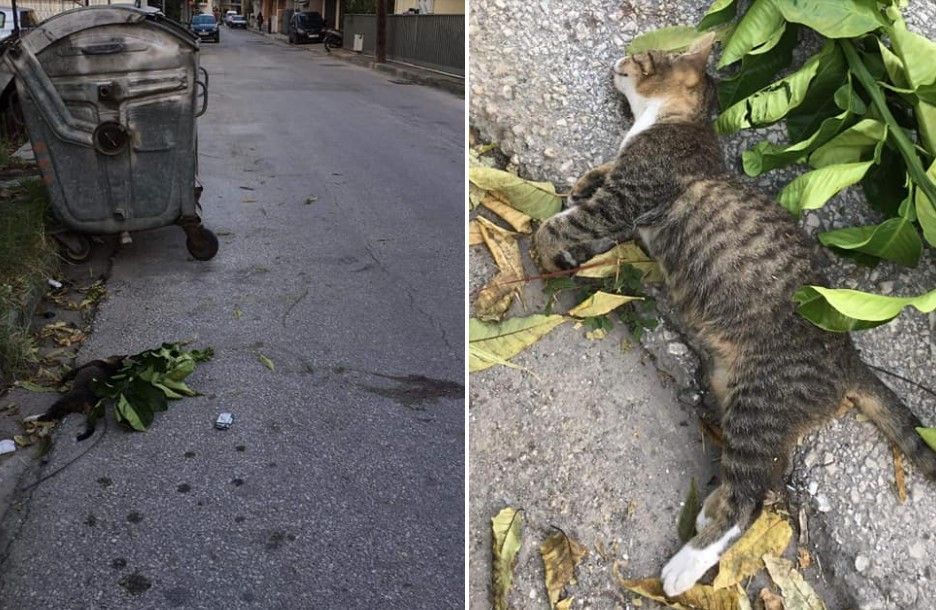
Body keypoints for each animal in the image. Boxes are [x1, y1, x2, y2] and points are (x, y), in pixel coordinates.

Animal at [532, 32, 936, 592]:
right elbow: (598, 176)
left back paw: (687, 563)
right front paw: (582, 184)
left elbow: (569, 221)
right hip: (739, 397)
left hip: (760, 405)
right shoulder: (624, 189)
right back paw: (711, 509)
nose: (620, 58)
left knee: (752, 501)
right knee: (766, 476)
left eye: (646, 56)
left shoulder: (630, 196)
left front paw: (545, 247)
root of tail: (848, 355)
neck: (672, 122)